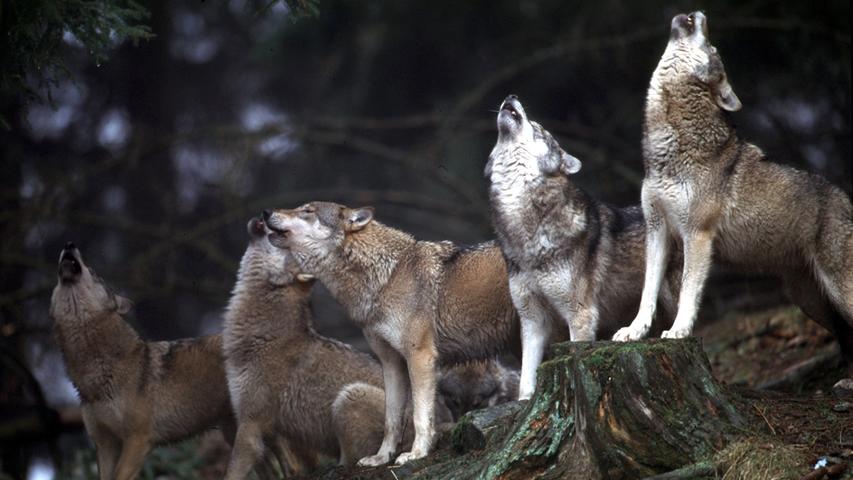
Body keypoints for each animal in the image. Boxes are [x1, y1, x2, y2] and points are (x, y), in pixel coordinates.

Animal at [262, 205, 524, 464]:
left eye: (307, 210)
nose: (265, 213)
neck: (387, 277)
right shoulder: (391, 362)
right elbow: (392, 420)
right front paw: (381, 457)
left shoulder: (420, 357)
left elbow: (420, 416)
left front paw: (417, 453)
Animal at [486, 95, 680, 400]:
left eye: (538, 129)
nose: (510, 97)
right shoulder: (532, 320)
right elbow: (527, 378)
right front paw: (527, 402)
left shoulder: (581, 314)